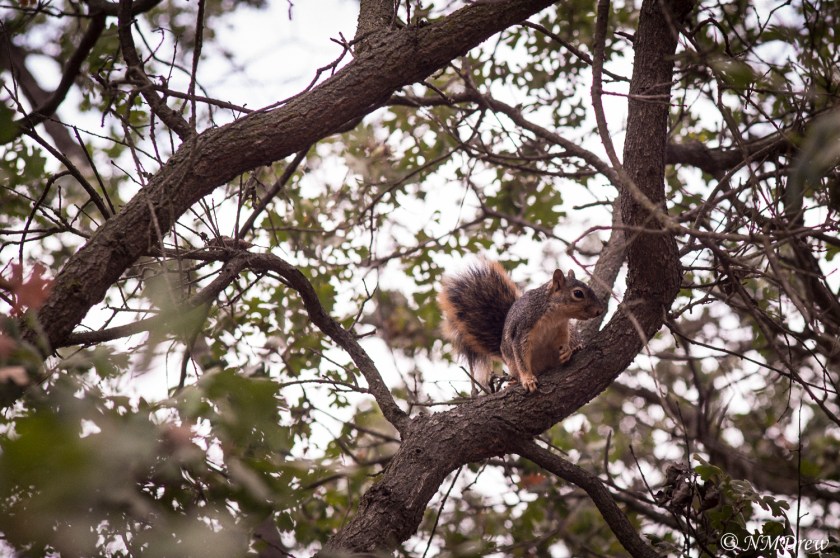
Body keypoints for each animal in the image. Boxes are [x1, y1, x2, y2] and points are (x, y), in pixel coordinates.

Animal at [438, 259, 605, 393]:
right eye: (578, 293)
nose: (600, 310)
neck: (554, 317)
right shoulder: (522, 329)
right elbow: (521, 357)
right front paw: (527, 379)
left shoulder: (563, 329)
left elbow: (563, 342)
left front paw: (567, 351)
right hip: (512, 362)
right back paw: (514, 381)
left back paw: (577, 348)